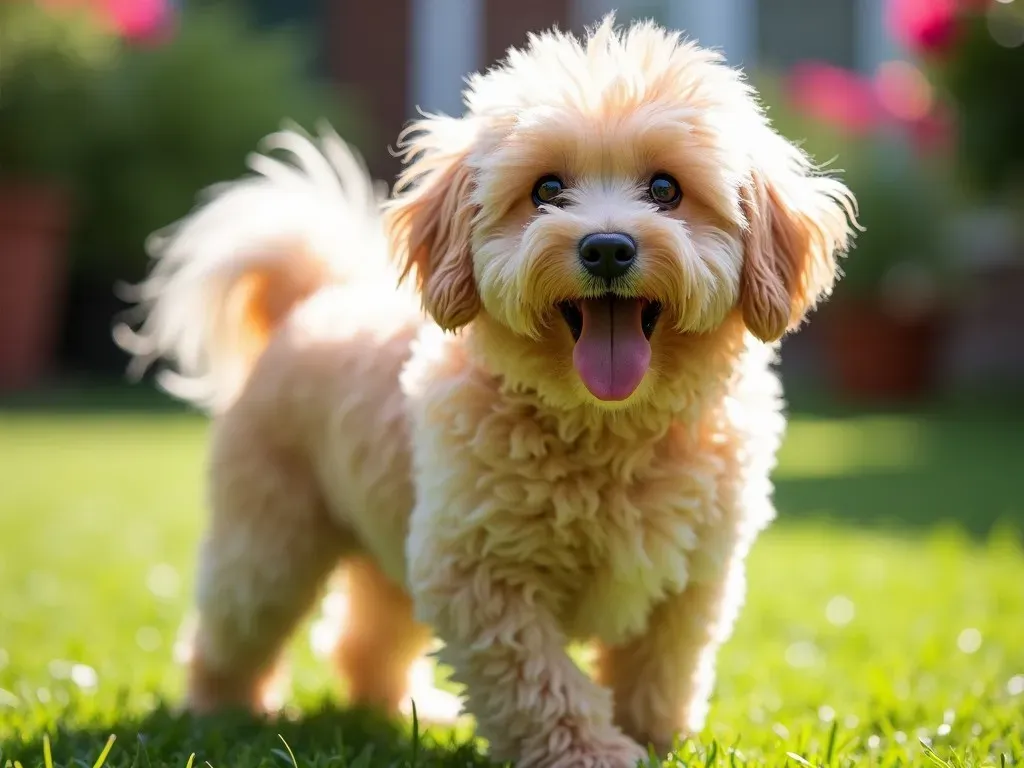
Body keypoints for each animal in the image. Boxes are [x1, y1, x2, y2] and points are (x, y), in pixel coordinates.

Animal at [117, 13, 856, 768]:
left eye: (666, 189)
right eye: (547, 190)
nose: (607, 247)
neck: (606, 427)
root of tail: (315, 296)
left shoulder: (691, 577)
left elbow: (661, 671)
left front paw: (658, 739)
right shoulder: (478, 574)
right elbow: (540, 681)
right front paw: (590, 752)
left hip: (389, 536)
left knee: (365, 637)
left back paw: (399, 711)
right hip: (272, 538)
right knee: (234, 627)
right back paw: (223, 713)